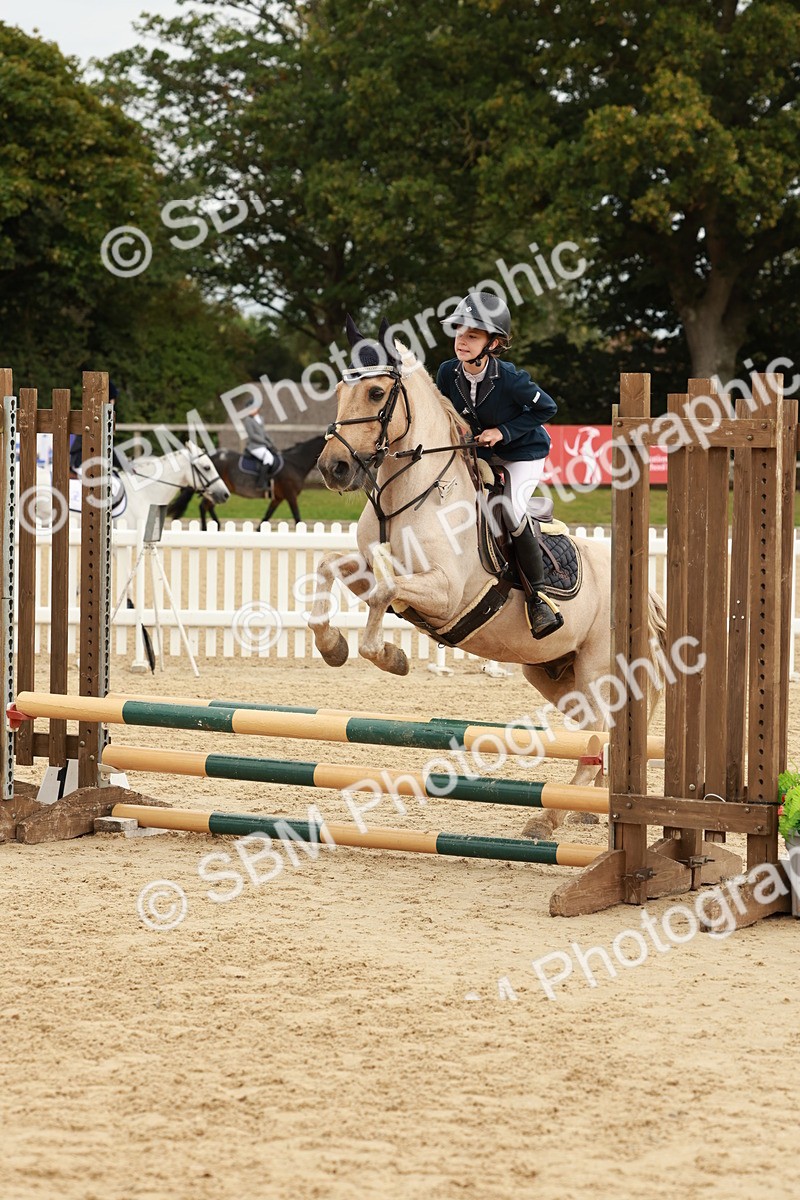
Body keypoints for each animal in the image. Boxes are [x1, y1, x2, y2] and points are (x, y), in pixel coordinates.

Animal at [166, 435, 327, 528]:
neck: (295, 463)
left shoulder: (278, 498)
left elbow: (266, 518)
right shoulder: (290, 496)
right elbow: (298, 518)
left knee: (207, 506)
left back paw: (217, 525)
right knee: (203, 506)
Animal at [306, 337, 667, 839]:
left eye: (377, 393)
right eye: (341, 391)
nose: (333, 468)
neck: (412, 495)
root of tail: (642, 593)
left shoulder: (445, 593)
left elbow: (385, 593)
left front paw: (390, 658)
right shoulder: (369, 568)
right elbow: (328, 568)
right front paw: (333, 647)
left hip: (598, 668)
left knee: (598, 731)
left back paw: (548, 818)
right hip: (554, 675)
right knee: (599, 735)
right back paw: (587, 806)